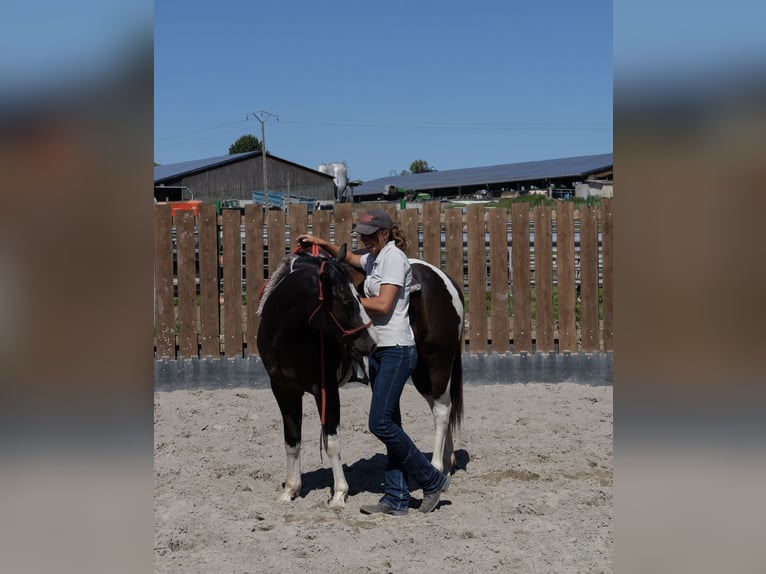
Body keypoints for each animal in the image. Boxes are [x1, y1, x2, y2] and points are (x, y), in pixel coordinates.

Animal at [256, 244, 378, 509]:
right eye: (346, 300)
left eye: (359, 296)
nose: (372, 341)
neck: (286, 336)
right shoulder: (283, 389)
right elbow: (292, 440)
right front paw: (290, 490)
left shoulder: (326, 388)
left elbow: (332, 441)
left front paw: (339, 494)